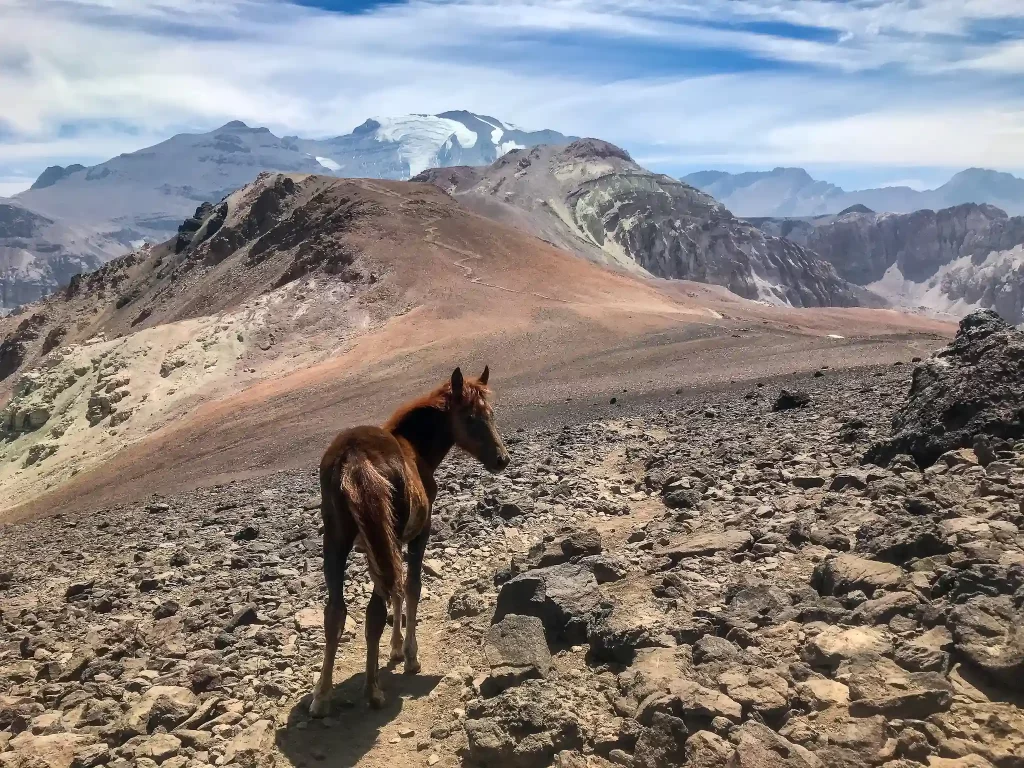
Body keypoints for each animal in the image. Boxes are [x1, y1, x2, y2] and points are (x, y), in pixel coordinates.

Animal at [307, 366, 507, 716]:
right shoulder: (418, 533)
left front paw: (397, 648)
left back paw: (322, 696)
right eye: (470, 418)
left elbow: (397, 589)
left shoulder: (383, 546)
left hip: (336, 541)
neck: (414, 447)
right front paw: (410, 656)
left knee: (335, 612)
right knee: (373, 612)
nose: (501, 459)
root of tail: (354, 457)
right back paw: (373, 691)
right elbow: (412, 586)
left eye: (491, 414)